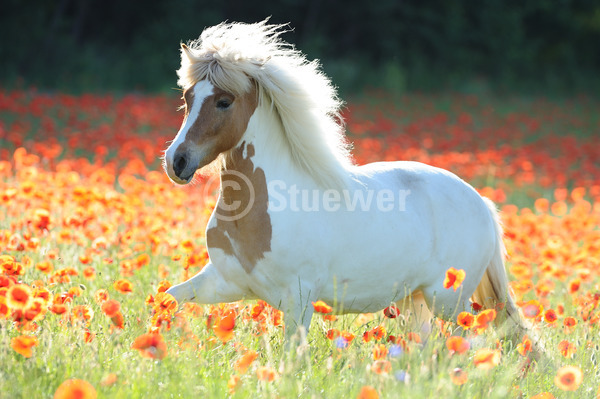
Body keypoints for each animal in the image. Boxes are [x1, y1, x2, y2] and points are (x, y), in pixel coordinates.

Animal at [163, 20, 540, 360]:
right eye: (188, 96)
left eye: (224, 101)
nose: (176, 162)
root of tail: (482, 203)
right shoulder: (224, 282)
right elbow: (168, 299)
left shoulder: (299, 299)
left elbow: (290, 361)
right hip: (415, 302)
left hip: (449, 301)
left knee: (471, 340)